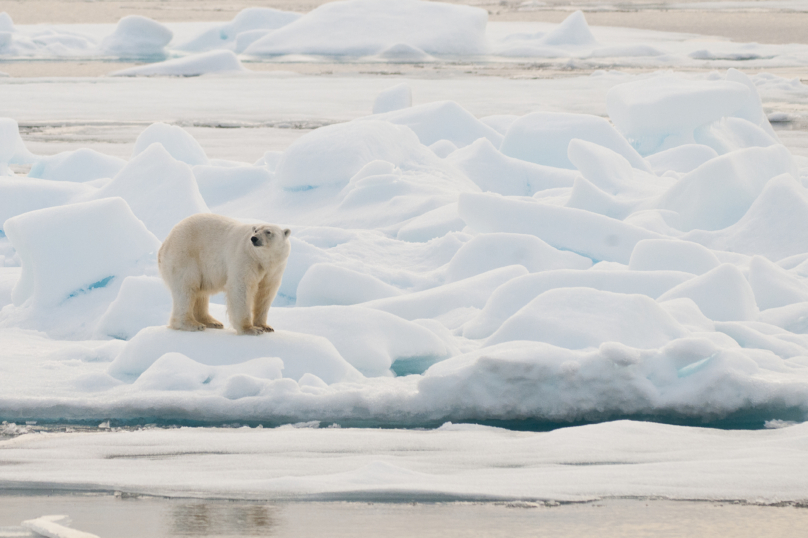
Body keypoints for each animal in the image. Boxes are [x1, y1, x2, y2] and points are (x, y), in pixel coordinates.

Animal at [158, 211, 290, 332]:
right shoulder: (245, 258)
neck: (261, 260)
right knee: (186, 287)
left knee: (200, 293)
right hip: (185, 256)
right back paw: (192, 324)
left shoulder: (274, 270)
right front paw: (250, 328)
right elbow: (241, 287)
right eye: (256, 231)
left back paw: (212, 322)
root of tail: (165, 243)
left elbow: (265, 293)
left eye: (268, 232)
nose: (254, 239)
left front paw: (265, 326)